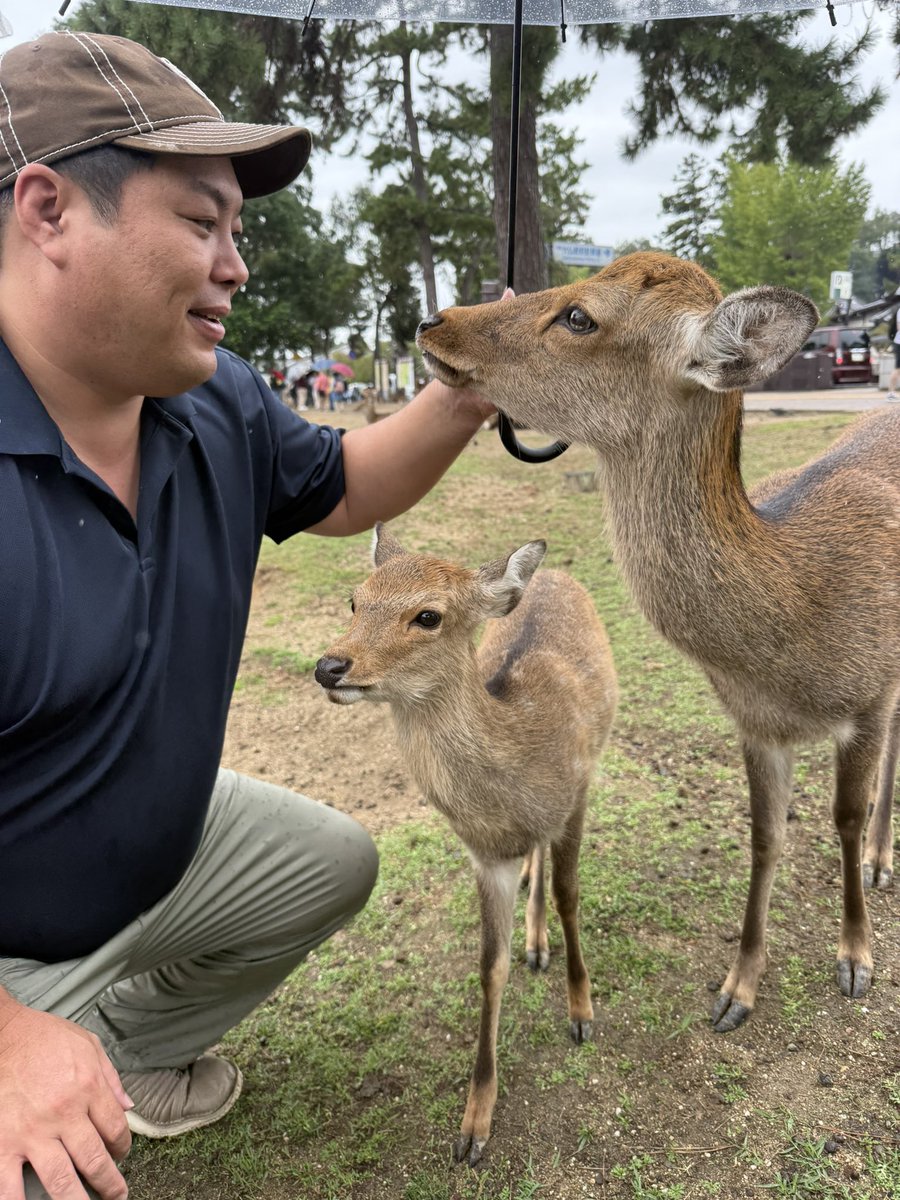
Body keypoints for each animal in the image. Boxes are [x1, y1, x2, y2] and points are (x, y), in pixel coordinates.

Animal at [315, 525, 617, 1165]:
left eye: (428, 616)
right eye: (355, 600)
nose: (330, 666)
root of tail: (552, 574)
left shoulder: (577, 794)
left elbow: (572, 896)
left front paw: (582, 1013)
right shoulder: (484, 856)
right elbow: (489, 967)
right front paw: (474, 1124)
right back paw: (534, 941)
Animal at [415, 250, 898, 1036]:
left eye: (580, 316)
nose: (434, 320)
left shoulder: (870, 694)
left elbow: (845, 818)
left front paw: (855, 959)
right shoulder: (756, 724)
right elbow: (766, 837)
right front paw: (735, 991)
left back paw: (882, 863)